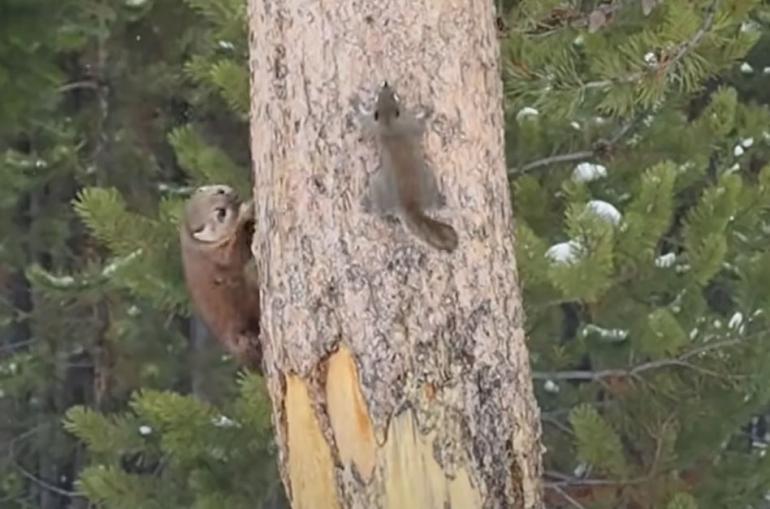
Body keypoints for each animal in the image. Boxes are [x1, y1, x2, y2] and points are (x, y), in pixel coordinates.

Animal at [178, 183, 262, 370]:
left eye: (220, 191)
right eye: (221, 213)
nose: (230, 194)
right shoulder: (221, 255)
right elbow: (234, 249)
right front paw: (247, 211)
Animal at [358, 81, 460, 252]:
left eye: (394, 96)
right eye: (380, 97)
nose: (385, 84)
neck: (390, 124)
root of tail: (410, 206)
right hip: (422, 180)